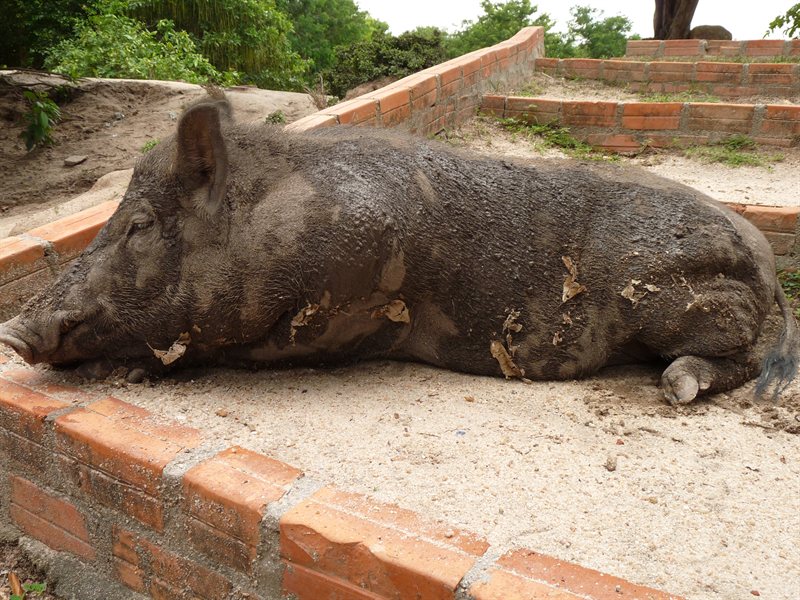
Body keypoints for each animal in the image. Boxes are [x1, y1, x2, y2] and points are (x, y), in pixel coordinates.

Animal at [0, 97, 797, 404]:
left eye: (138, 225)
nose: (13, 330)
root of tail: (765, 263)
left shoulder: (337, 313)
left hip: (682, 298)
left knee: (740, 356)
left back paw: (677, 386)